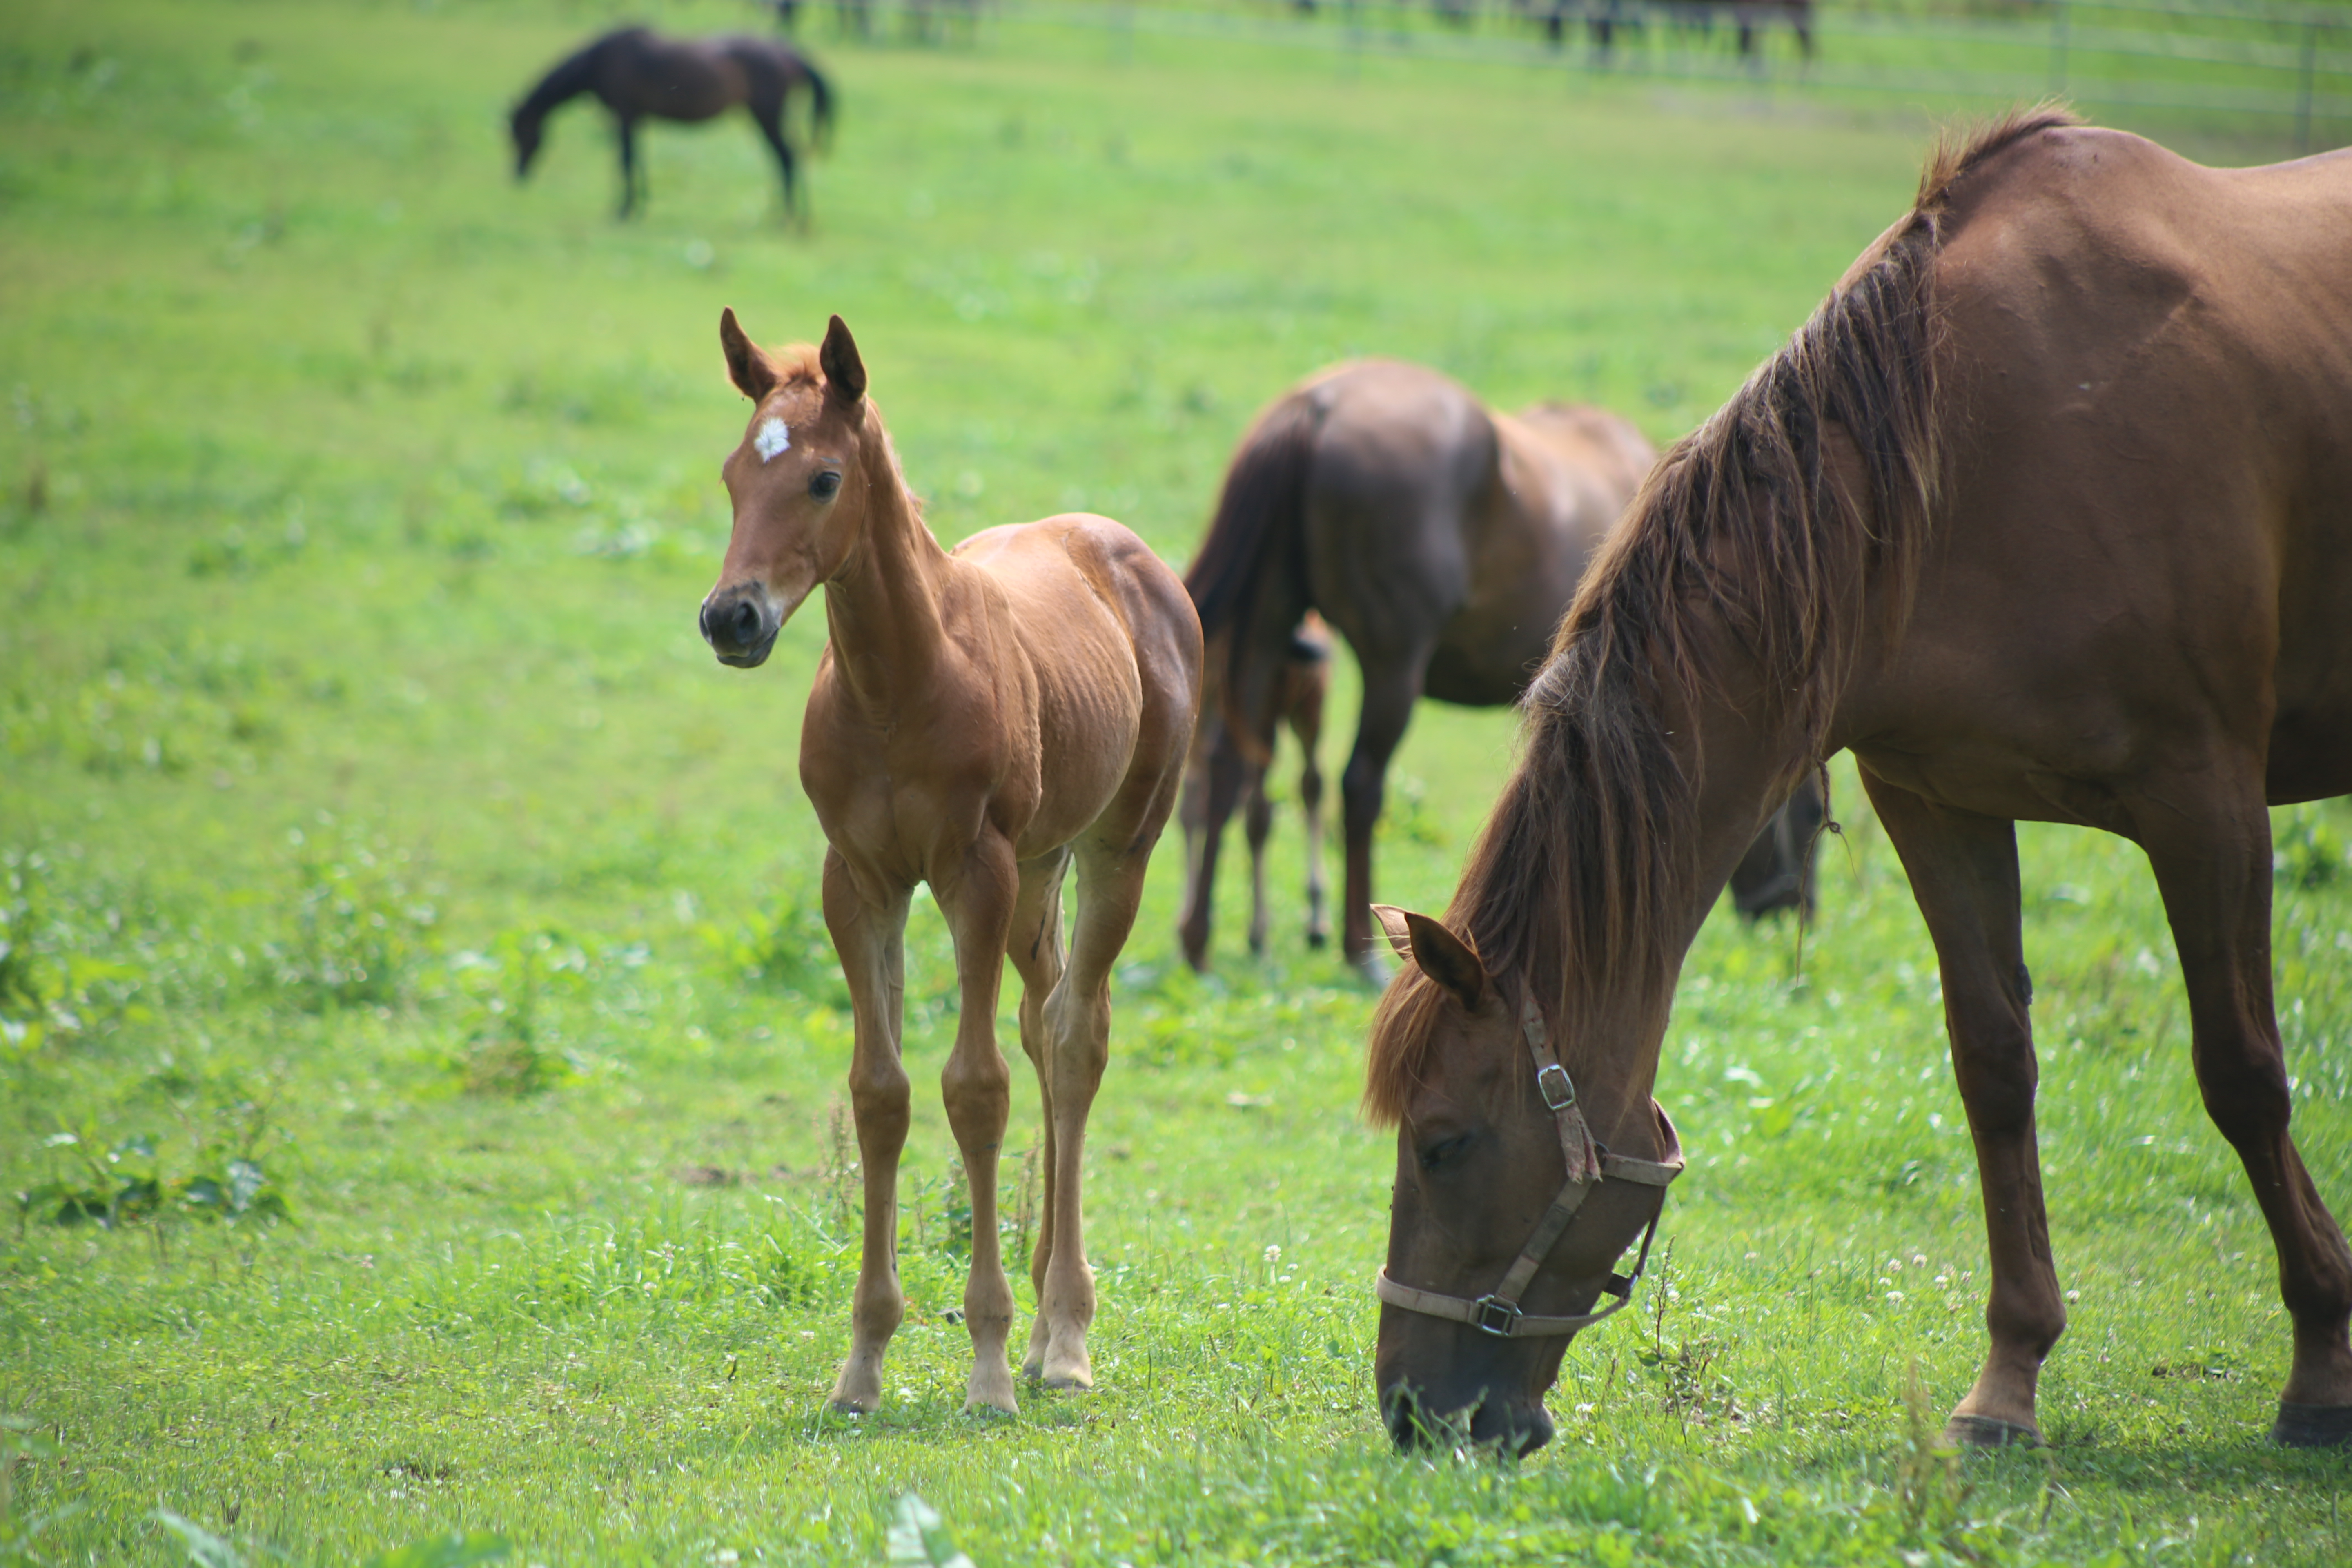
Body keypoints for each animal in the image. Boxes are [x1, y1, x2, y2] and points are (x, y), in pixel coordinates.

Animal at [515, 28, 837, 221]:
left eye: (518, 135)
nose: (516, 176)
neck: (601, 60)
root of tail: (788, 54)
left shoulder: (624, 116)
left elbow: (625, 160)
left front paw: (623, 211)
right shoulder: (636, 119)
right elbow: (637, 161)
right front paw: (639, 205)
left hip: (767, 116)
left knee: (787, 158)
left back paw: (788, 218)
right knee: (786, 159)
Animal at [691, 312, 1214, 1420]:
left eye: (824, 479)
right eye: (732, 474)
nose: (731, 617)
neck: (901, 687)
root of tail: (1123, 546)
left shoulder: (974, 873)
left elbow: (974, 1089)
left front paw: (987, 1364)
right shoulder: (858, 882)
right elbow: (880, 1093)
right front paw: (861, 1363)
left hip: (1114, 849)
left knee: (1075, 1040)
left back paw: (1063, 1336)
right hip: (1039, 867)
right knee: (1044, 1023)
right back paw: (1047, 1326)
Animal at [1364, 110, 2352, 1457]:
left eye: (1445, 1143)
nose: (1413, 1411)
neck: (1980, 450)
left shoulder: (2207, 802)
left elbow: (2244, 1074)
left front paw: (2322, 1362)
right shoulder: (1940, 802)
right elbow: (1994, 1071)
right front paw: (2007, 1382)